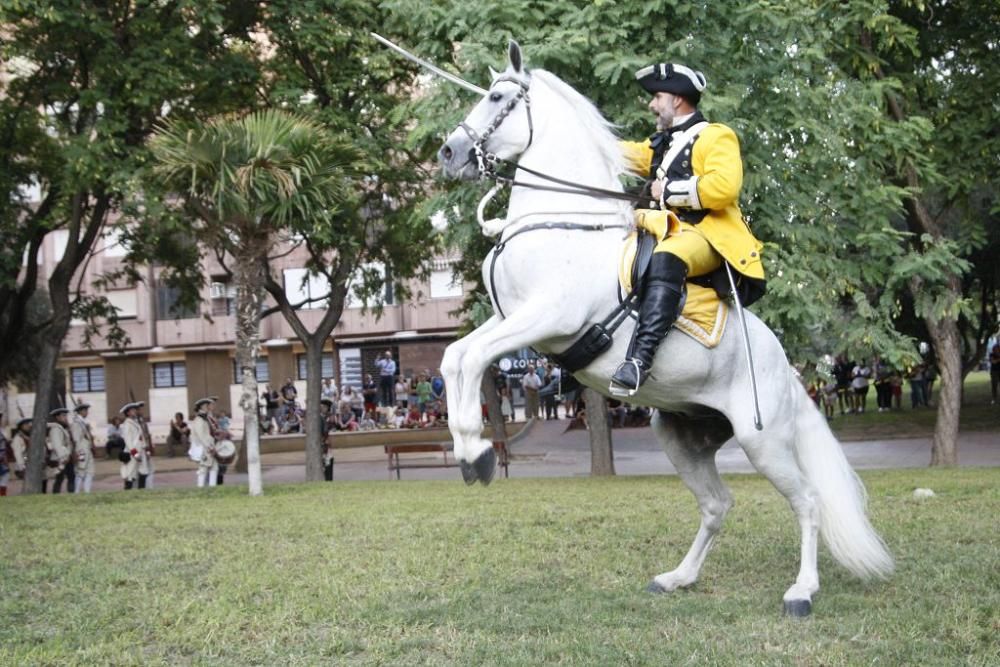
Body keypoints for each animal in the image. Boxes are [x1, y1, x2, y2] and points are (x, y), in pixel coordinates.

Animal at [438, 41, 892, 616]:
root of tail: (786, 371)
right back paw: (679, 577)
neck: (562, 219)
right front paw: (468, 452)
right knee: (718, 505)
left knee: (807, 501)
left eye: (497, 98)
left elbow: (473, 359)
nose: (448, 152)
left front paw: (475, 454)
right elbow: (455, 358)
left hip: (762, 440)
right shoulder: (510, 318)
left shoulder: (547, 318)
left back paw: (801, 591)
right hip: (681, 436)